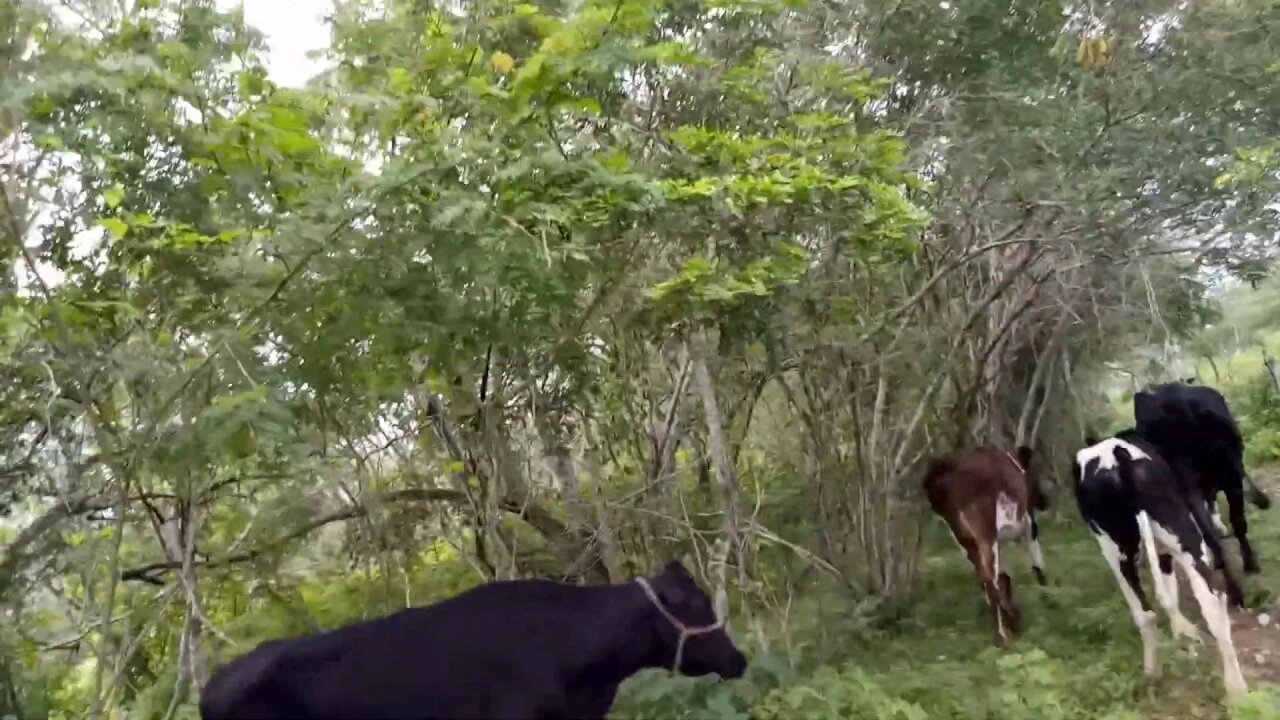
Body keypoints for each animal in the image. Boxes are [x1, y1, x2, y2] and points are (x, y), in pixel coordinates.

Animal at [926, 445, 1044, 640]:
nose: (1045, 500)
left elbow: (1005, 576)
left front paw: (1014, 617)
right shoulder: (1029, 525)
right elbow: (1037, 564)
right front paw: (1047, 594)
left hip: (964, 538)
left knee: (985, 579)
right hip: (985, 531)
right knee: (989, 580)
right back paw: (1003, 635)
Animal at [1075, 430, 1244, 696]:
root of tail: (1118, 460)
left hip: (1116, 553)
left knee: (1146, 615)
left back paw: (1151, 676)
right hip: (1186, 540)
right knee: (1212, 603)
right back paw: (1237, 688)